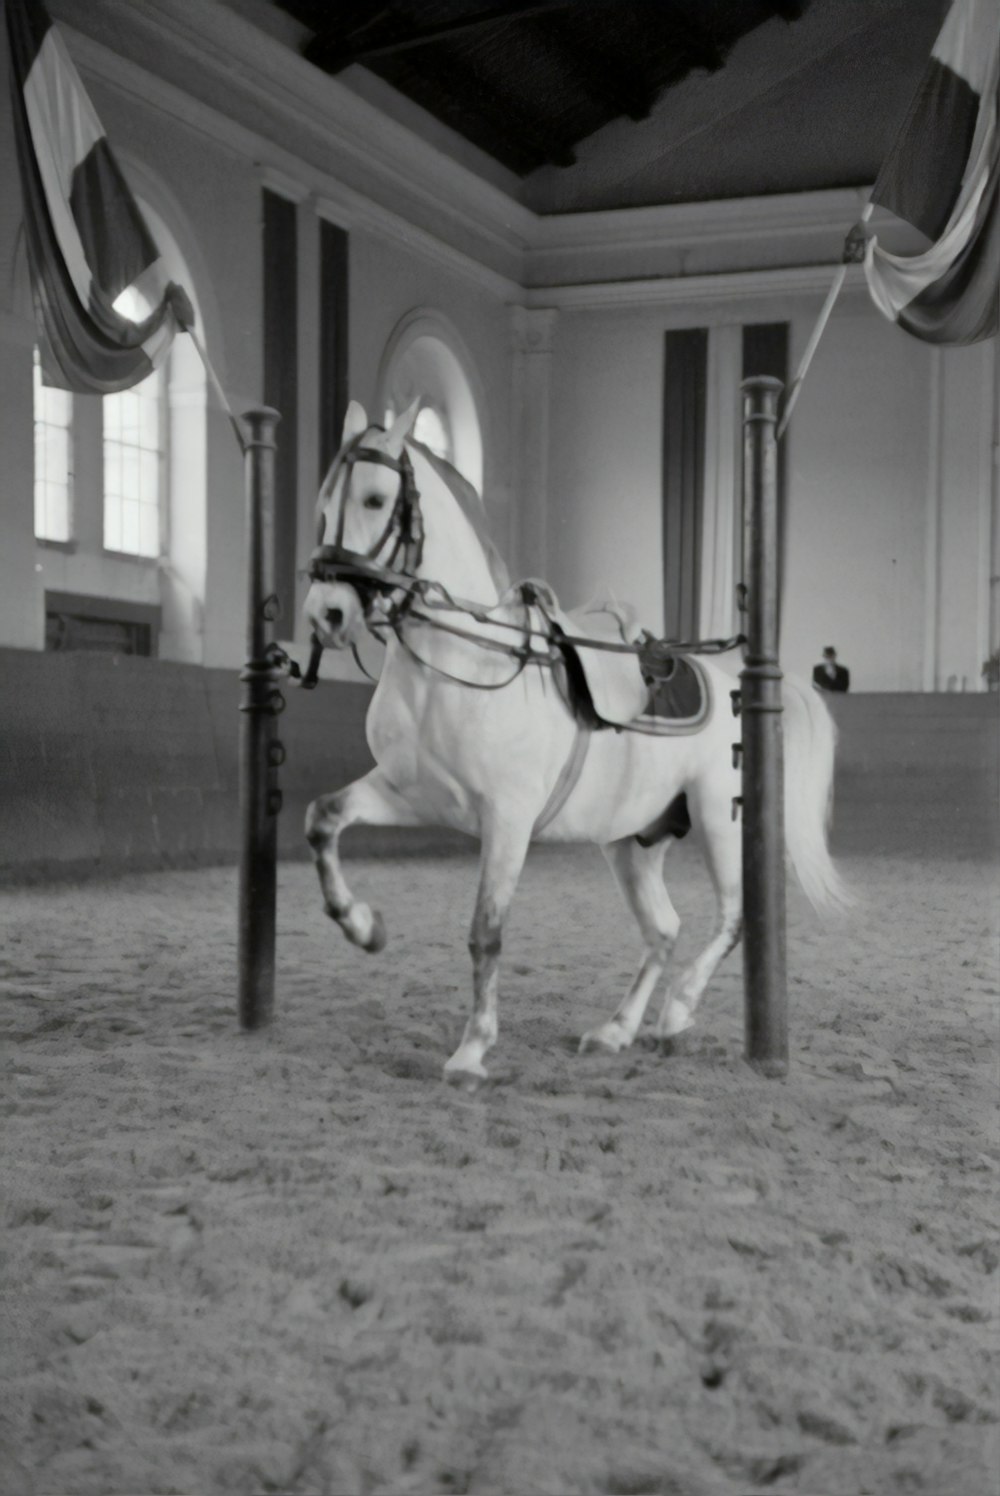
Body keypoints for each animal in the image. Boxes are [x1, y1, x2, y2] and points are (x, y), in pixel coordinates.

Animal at [300, 397, 850, 1089]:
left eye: (375, 499)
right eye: (323, 502)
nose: (326, 613)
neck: (461, 664)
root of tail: (731, 685)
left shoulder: (507, 819)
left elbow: (485, 932)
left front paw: (471, 1052)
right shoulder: (409, 793)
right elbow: (323, 820)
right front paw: (364, 927)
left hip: (720, 823)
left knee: (731, 917)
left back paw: (675, 1014)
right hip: (632, 840)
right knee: (664, 928)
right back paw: (616, 1030)